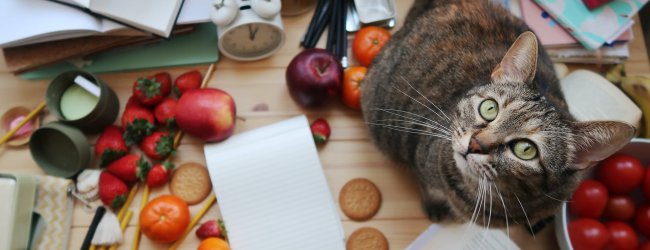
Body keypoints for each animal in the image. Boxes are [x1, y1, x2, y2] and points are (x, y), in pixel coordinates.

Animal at [362, 0, 636, 228]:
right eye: (489, 108)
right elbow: (428, 186)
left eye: (526, 150)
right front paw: (435, 204)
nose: (475, 144)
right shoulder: (421, 156)